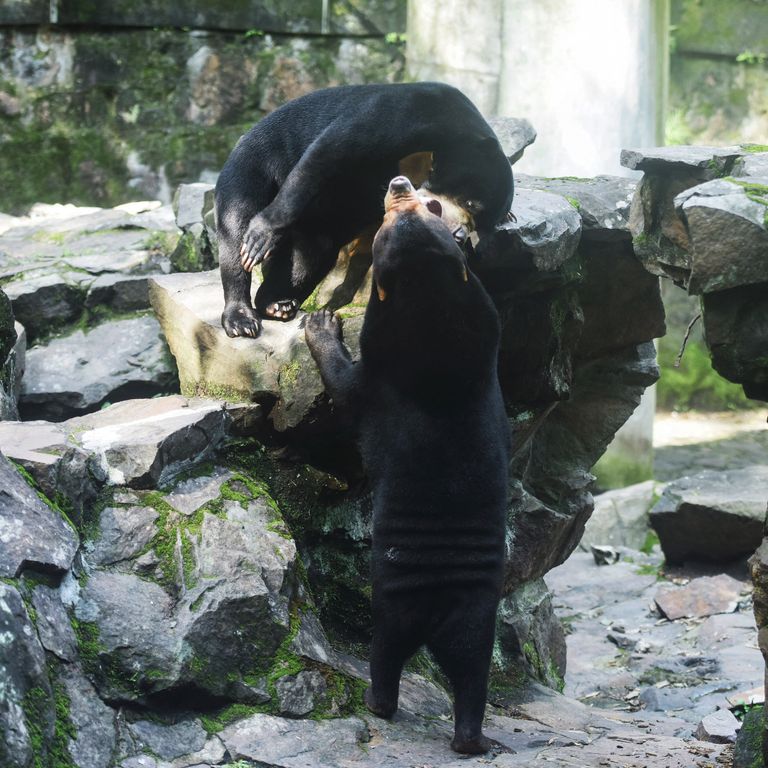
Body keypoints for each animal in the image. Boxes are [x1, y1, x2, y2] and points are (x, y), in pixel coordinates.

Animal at [216, 81, 512, 340]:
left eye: (480, 225)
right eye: (471, 204)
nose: (459, 236)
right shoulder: (404, 115)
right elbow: (328, 153)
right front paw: (261, 236)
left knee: (309, 256)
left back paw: (277, 304)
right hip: (252, 165)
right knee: (236, 226)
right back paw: (241, 318)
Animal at [306, 176, 510, 756]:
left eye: (429, 205)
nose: (398, 182)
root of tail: (437, 615)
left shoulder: (376, 381)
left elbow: (344, 385)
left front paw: (321, 322)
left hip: (394, 602)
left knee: (386, 654)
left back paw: (377, 701)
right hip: (477, 616)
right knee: (473, 674)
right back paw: (472, 739)